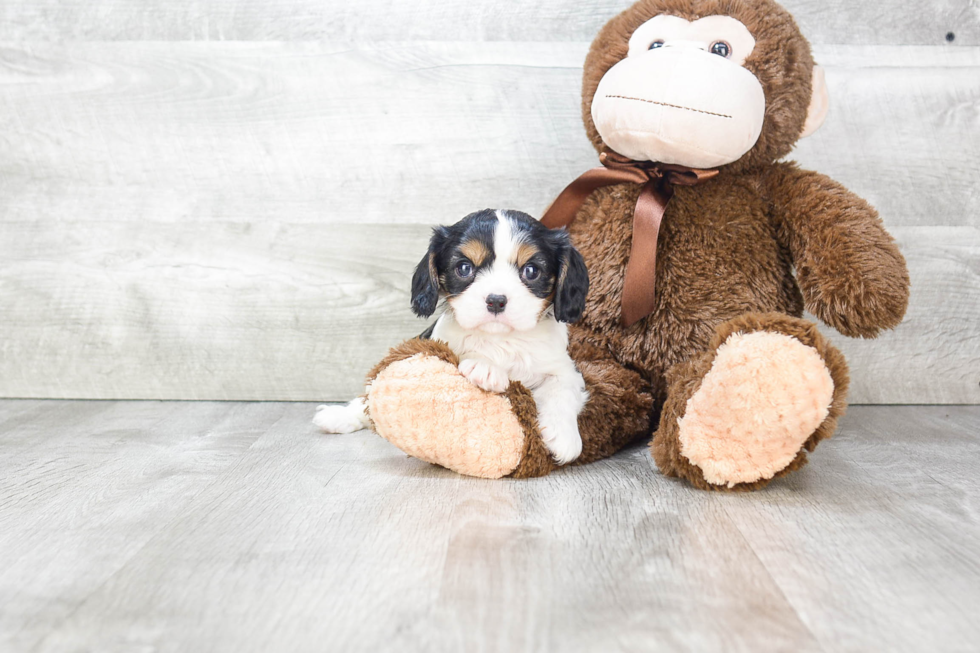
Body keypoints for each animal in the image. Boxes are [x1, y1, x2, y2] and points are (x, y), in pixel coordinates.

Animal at [316, 209, 588, 464]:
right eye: (464, 268)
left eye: (531, 271)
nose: (496, 300)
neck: (501, 339)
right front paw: (484, 366)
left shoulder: (564, 367)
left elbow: (562, 389)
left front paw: (564, 437)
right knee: (366, 399)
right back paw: (337, 416)